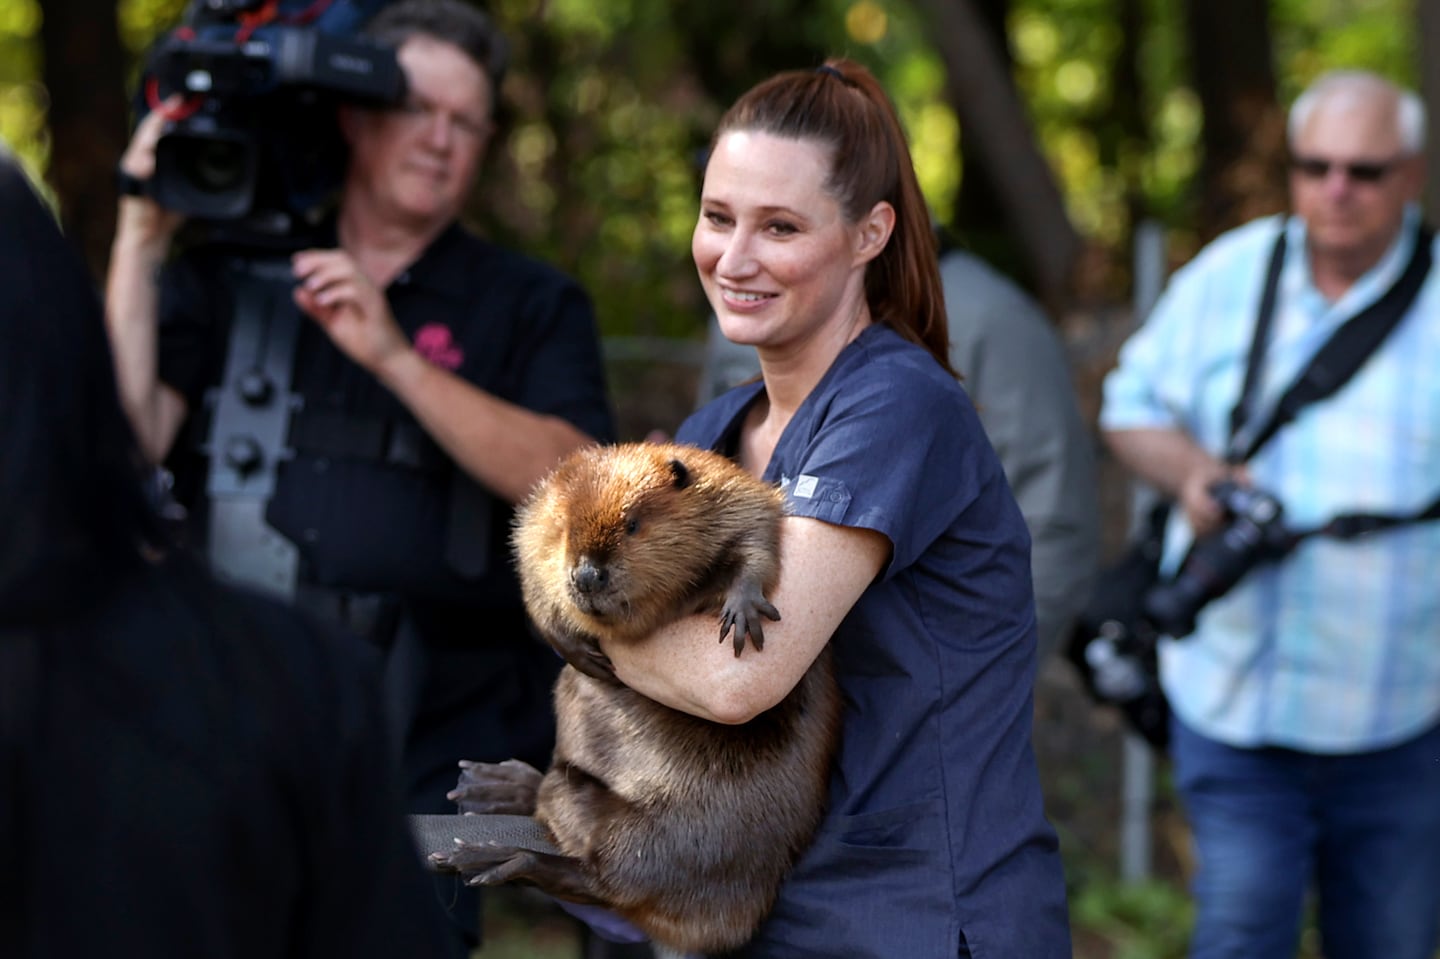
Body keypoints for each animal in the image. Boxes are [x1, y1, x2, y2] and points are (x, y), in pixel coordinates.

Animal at [432, 437, 840, 950]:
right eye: (566, 526)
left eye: (632, 525)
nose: (587, 577)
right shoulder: (533, 523)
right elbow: (528, 569)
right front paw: (572, 645)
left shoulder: (735, 501)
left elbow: (757, 544)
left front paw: (743, 608)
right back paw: (497, 788)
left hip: (671, 837)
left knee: (606, 878)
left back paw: (494, 857)